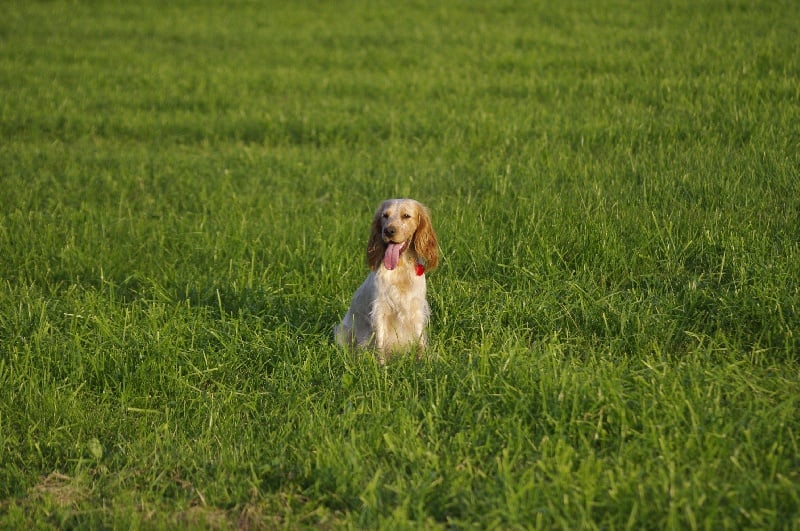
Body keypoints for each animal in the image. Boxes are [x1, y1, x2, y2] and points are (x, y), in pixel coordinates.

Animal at [334, 200, 440, 362]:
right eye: (385, 215)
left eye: (406, 215)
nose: (388, 231)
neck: (400, 268)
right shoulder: (380, 309)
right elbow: (381, 343)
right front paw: (381, 365)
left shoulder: (416, 308)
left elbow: (420, 338)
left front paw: (423, 361)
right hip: (344, 331)